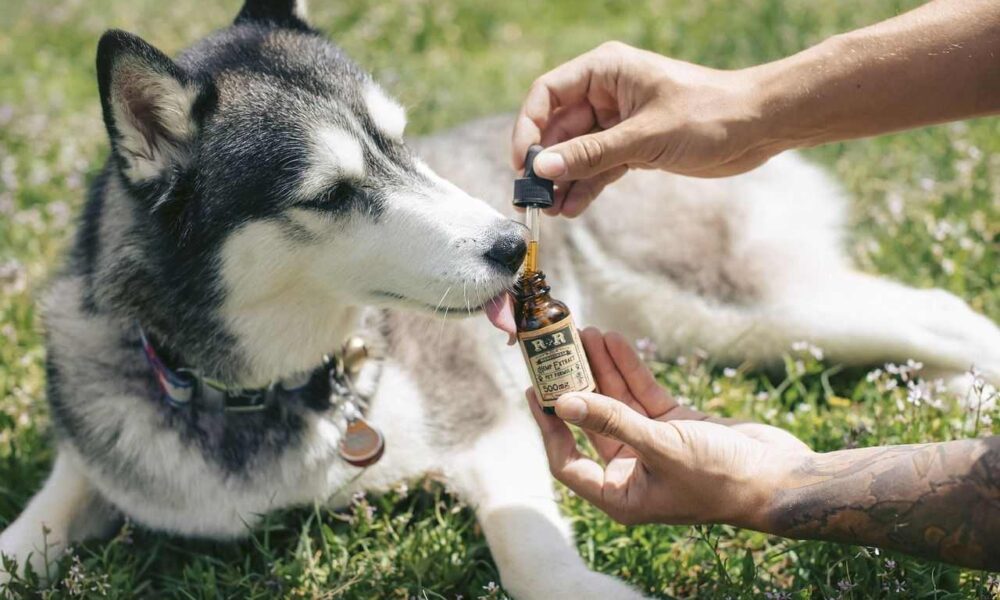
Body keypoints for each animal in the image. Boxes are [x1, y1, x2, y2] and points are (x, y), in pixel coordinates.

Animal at [1, 2, 1000, 596]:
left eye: (404, 144)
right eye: (330, 193)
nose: (514, 244)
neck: (268, 394)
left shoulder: (487, 416)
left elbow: (525, 548)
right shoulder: (103, 434)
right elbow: (46, 510)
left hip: (735, 305)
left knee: (940, 309)